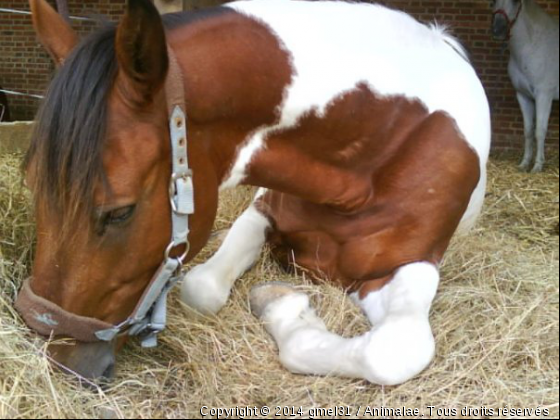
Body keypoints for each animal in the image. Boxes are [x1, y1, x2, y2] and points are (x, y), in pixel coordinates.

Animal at [16, 0, 490, 386]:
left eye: (120, 212)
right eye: (33, 186)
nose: (61, 360)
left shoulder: (412, 262)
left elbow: (390, 352)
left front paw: (284, 308)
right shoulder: (263, 209)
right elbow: (202, 287)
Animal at [492, 0, 556, 174]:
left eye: (515, 2)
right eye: (492, 1)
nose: (497, 29)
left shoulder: (543, 95)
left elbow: (539, 130)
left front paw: (538, 166)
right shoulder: (523, 95)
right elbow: (528, 130)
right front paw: (524, 163)